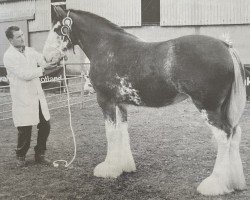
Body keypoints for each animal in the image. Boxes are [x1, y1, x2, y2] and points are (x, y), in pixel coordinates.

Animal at [43, 6, 246, 195]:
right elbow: (122, 132)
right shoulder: (121, 103)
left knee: (224, 136)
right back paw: (234, 182)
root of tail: (225, 46)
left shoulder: (105, 101)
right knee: (235, 134)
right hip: (223, 109)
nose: (47, 57)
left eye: (57, 29)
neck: (106, 47)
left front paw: (108, 168)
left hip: (208, 108)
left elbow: (111, 133)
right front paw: (123, 166)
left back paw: (213, 185)